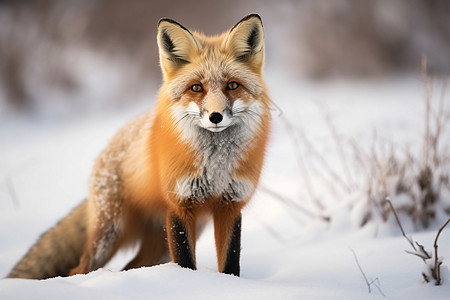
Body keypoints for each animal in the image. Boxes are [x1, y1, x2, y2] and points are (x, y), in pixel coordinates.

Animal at [7, 12, 270, 280]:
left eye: (232, 85)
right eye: (196, 87)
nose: (215, 116)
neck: (215, 166)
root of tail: (110, 144)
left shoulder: (230, 206)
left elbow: (230, 264)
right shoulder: (179, 205)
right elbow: (185, 262)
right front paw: (186, 282)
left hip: (165, 242)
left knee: (132, 266)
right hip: (110, 233)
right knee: (79, 269)